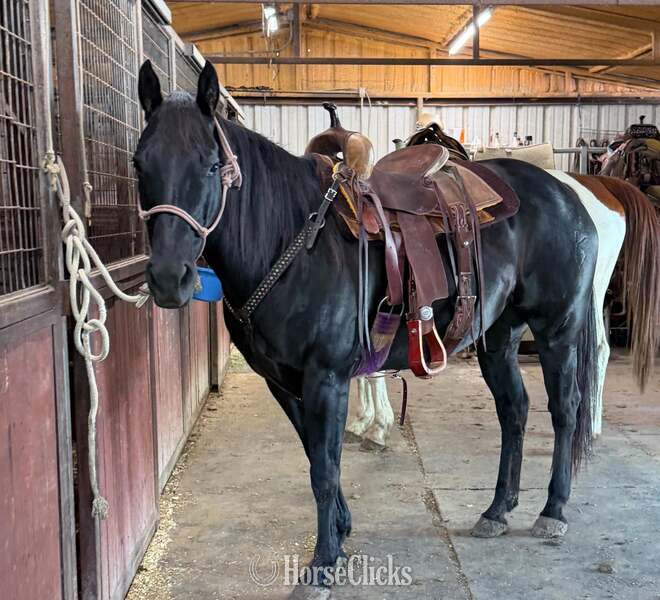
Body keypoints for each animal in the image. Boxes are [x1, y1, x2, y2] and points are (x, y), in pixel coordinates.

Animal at [134, 60, 658, 593]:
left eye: (210, 164)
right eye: (139, 163)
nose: (169, 279)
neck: (295, 241)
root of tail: (572, 193)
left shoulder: (325, 379)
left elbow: (325, 469)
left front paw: (323, 562)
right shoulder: (285, 383)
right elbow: (315, 457)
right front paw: (341, 532)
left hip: (558, 327)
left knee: (565, 407)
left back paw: (553, 510)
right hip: (499, 337)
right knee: (515, 410)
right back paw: (496, 510)